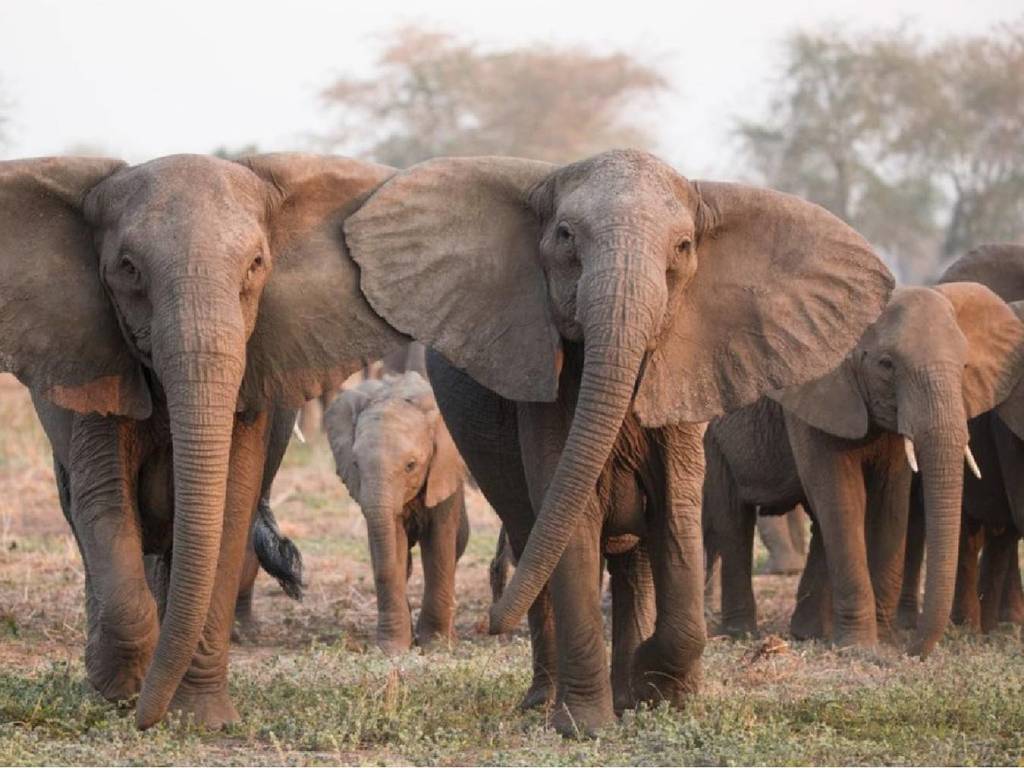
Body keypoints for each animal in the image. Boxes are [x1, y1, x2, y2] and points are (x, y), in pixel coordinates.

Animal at [0, 154, 405, 729]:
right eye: (128, 268)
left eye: (256, 264)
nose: (144, 719)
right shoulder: (98, 363)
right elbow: (104, 503)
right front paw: (122, 693)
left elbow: (229, 512)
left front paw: (200, 718)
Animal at [324, 371, 469, 652]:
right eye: (355, 464)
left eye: (411, 465)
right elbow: (392, 544)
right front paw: (392, 650)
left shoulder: (443, 472)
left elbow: (439, 546)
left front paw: (435, 646)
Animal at [341, 149, 894, 735]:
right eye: (565, 236)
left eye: (683, 247)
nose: (490, 624)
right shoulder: (547, 389)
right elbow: (572, 519)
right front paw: (584, 726)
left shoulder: (685, 375)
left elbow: (676, 515)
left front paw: (659, 688)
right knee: (533, 537)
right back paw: (545, 700)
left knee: (634, 562)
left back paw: (628, 692)